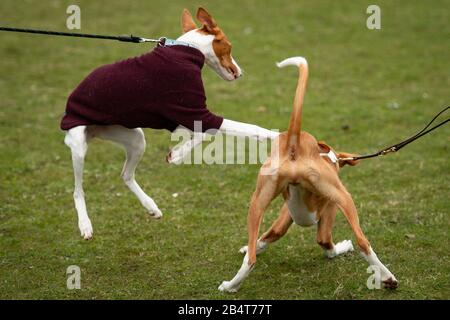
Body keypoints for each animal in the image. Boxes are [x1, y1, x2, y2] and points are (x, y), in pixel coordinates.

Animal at [60, 7, 278, 239]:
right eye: (229, 46)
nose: (240, 73)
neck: (187, 51)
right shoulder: (196, 114)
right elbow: (247, 129)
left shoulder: (179, 117)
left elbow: (200, 135)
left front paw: (177, 153)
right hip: (79, 146)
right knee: (77, 190)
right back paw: (85, 224)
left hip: (134, 138)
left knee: (126, 175)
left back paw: (151, 206)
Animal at [218, 57, 398, 292]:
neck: (328, 157)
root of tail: (295, 143)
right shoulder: (329, 208)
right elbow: (326, 245)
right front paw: (340, 247)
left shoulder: (284, 215)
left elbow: (266, 237)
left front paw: (248, 247)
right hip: (344, 198)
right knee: (363, 242)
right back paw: (388, 277)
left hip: (257, 200)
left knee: (251, 259)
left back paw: (230, 284)